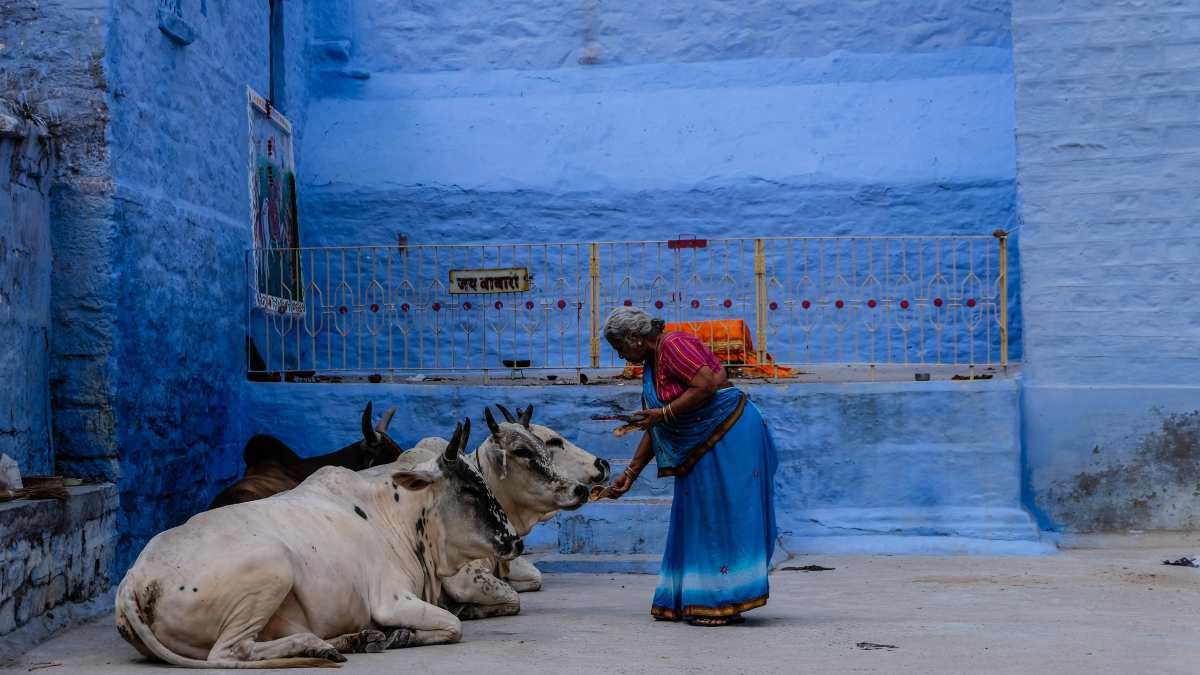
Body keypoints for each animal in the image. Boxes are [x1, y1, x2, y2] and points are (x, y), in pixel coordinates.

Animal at [113, 417, 520, 662]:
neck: (398, 516)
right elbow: (453, 626)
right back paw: (317, 645)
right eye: (470, 489)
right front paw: (399, 636)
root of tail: (134, 578)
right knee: (230, 652)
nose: (515, 540)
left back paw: (351, 640)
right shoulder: (390, 600)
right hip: (273, 565)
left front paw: (386, 636)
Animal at [408, 401, 609, 619]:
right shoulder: (465, 578)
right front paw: (464, 609)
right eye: (522, 451)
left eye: (543, 446)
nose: (580, 490)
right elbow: (513, 598)